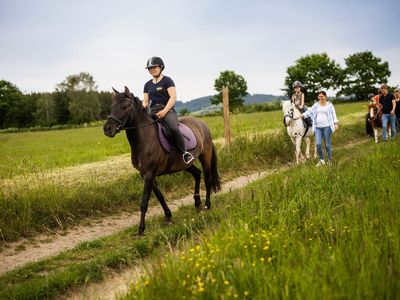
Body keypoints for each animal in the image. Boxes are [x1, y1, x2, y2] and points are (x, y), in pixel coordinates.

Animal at [103, 85, 220, 236]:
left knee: (207, 179)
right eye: (111, 106)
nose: (107, 129)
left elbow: (144, 202)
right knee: (197, 174)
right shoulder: (145, 174)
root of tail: (201, 123)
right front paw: (168, 216)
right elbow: (159, 195)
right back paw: (197, 202)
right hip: (185, 164)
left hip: (205, 156)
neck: (145, 139)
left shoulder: (149, 174)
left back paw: (206, 205)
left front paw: (141, 229)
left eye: (124, 107)